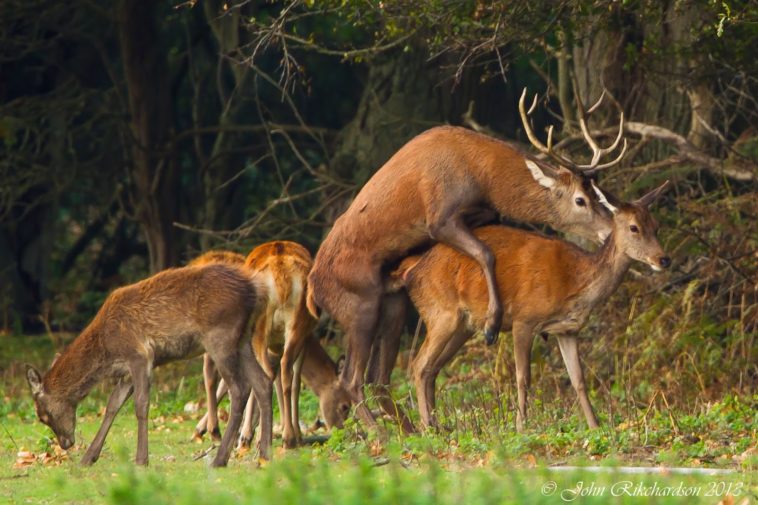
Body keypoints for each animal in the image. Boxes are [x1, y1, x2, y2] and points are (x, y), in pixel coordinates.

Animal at [25, 263, 273, 467]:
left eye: (42, 415)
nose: (65, 443)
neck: (105, 351)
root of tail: (257, 288)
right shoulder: (126, 371)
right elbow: (112, 406)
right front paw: (88, 458)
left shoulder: (139, 355)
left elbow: (141, 405)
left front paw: (141, 459)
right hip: (243, 339)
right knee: (263, 382)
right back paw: (264, 455)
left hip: (220, 338)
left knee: (239, 389)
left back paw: (220, 459)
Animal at [307, 88, 626, 430]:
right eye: (580, 200)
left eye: (598, 194)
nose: (611, 230)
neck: (482, 175)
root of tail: (313, 290)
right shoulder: (439, 216)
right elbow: (486, 253)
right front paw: (491, 324)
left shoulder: (479, 212)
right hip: (358, 305)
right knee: (351, 378)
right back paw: (384, 434)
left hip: (393, 303)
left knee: (378, 377)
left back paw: (414, 430)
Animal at [388, 181, 671, 431]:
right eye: (634, 227)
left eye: (656, 226)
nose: (663, 259)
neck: (574, 284)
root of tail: (412, 269)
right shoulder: (524, 319)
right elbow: (522, 377)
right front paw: (521, 425)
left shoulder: (567, 329)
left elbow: (578, 380)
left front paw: (595, 425)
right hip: (441, 312)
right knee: (419, 364)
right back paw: (427, 425)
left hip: (463, 326)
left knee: (432, 368)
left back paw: (438, 424)